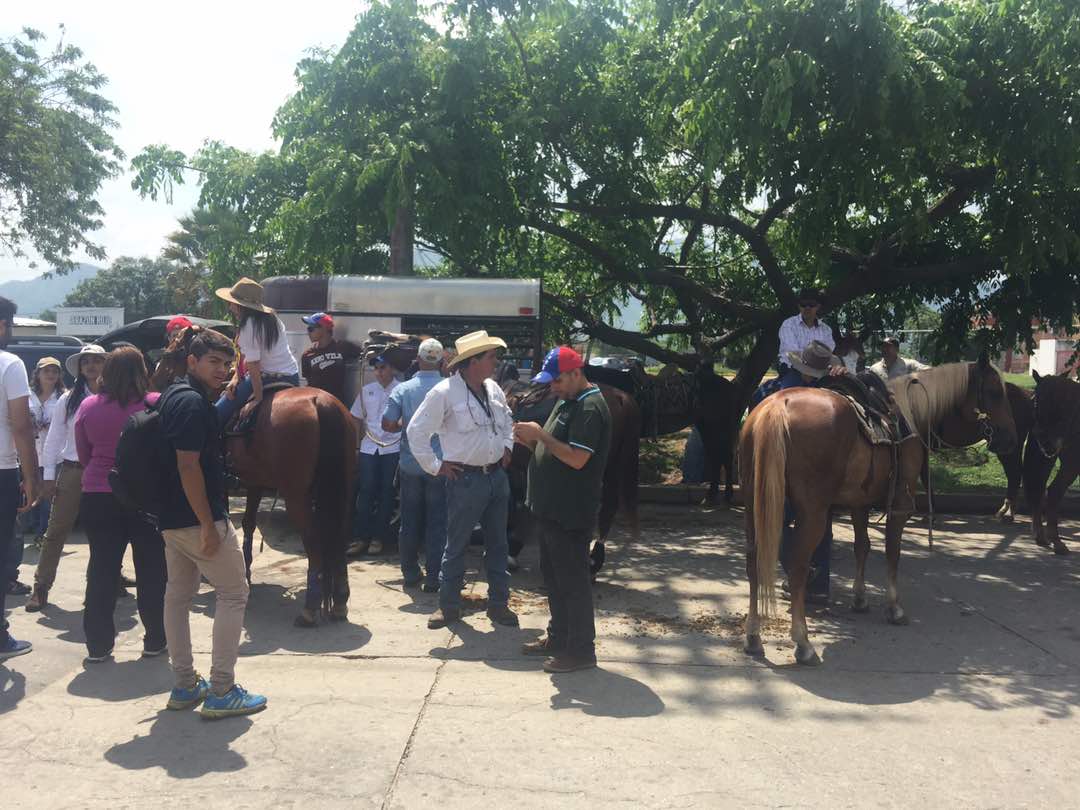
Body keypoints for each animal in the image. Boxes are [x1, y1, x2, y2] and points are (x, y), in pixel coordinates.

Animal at [738, 360, 1015, 665]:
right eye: (994, 392)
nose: (1009, 437)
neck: (910, 414)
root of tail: (777, 407)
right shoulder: (901, 503)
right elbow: (892, 552)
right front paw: (894, 608)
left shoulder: (860, 502)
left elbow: (862, 546)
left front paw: (860, 599)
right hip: (812, 512)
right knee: (798, 564)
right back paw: (803, 643)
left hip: (754, 504)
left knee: (753, 561)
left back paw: (753, 636)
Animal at [1023, 373, 1075, 557]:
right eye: (1036, 401)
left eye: (1062, 402)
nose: (1046, 442)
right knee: (1053, 491)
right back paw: (1056, 541)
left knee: (1040, 489)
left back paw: (1041, 535)